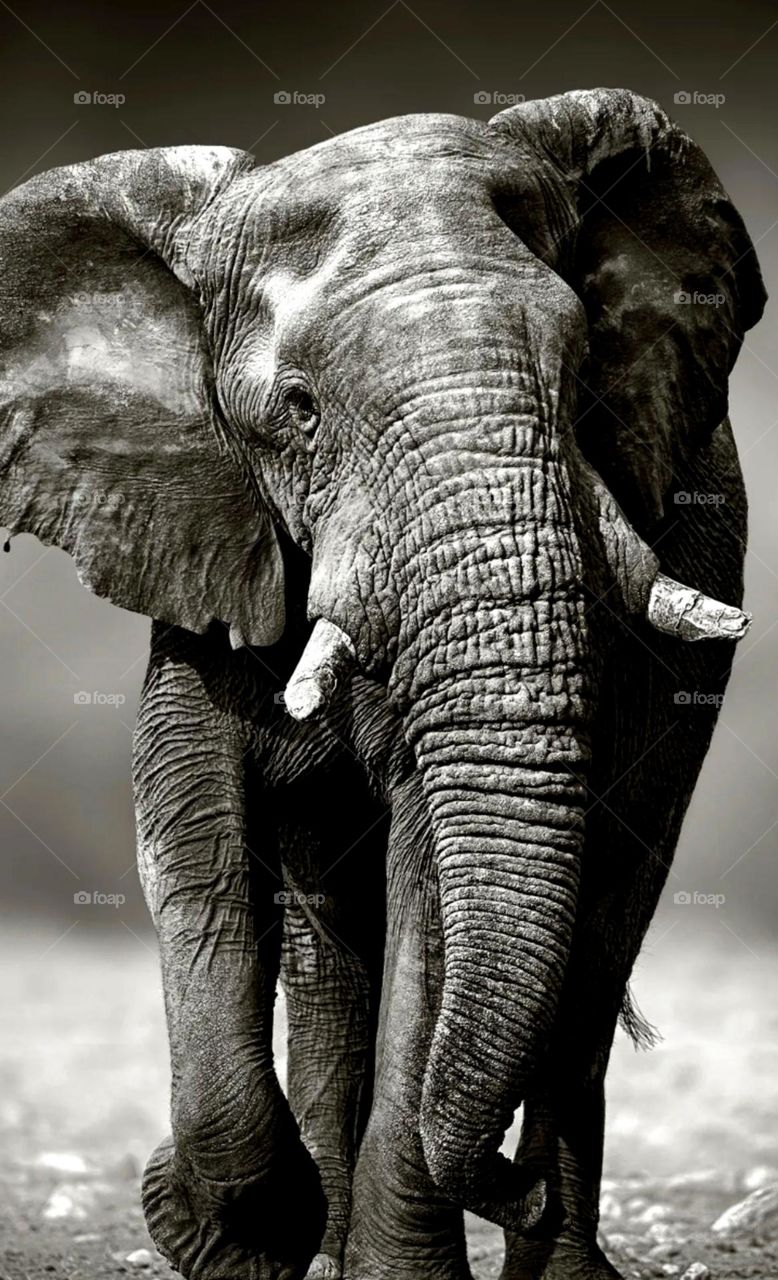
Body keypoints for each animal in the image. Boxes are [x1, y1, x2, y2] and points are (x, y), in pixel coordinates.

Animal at [0, 86, 765, 1280]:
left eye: (581, 378)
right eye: (300, 408)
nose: (513, 1187)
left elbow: (431, 891)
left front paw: (366, 1259)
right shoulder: (207, 530)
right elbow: (195, 837)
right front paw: (231, 1234)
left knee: (600, 933)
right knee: (331, 946)